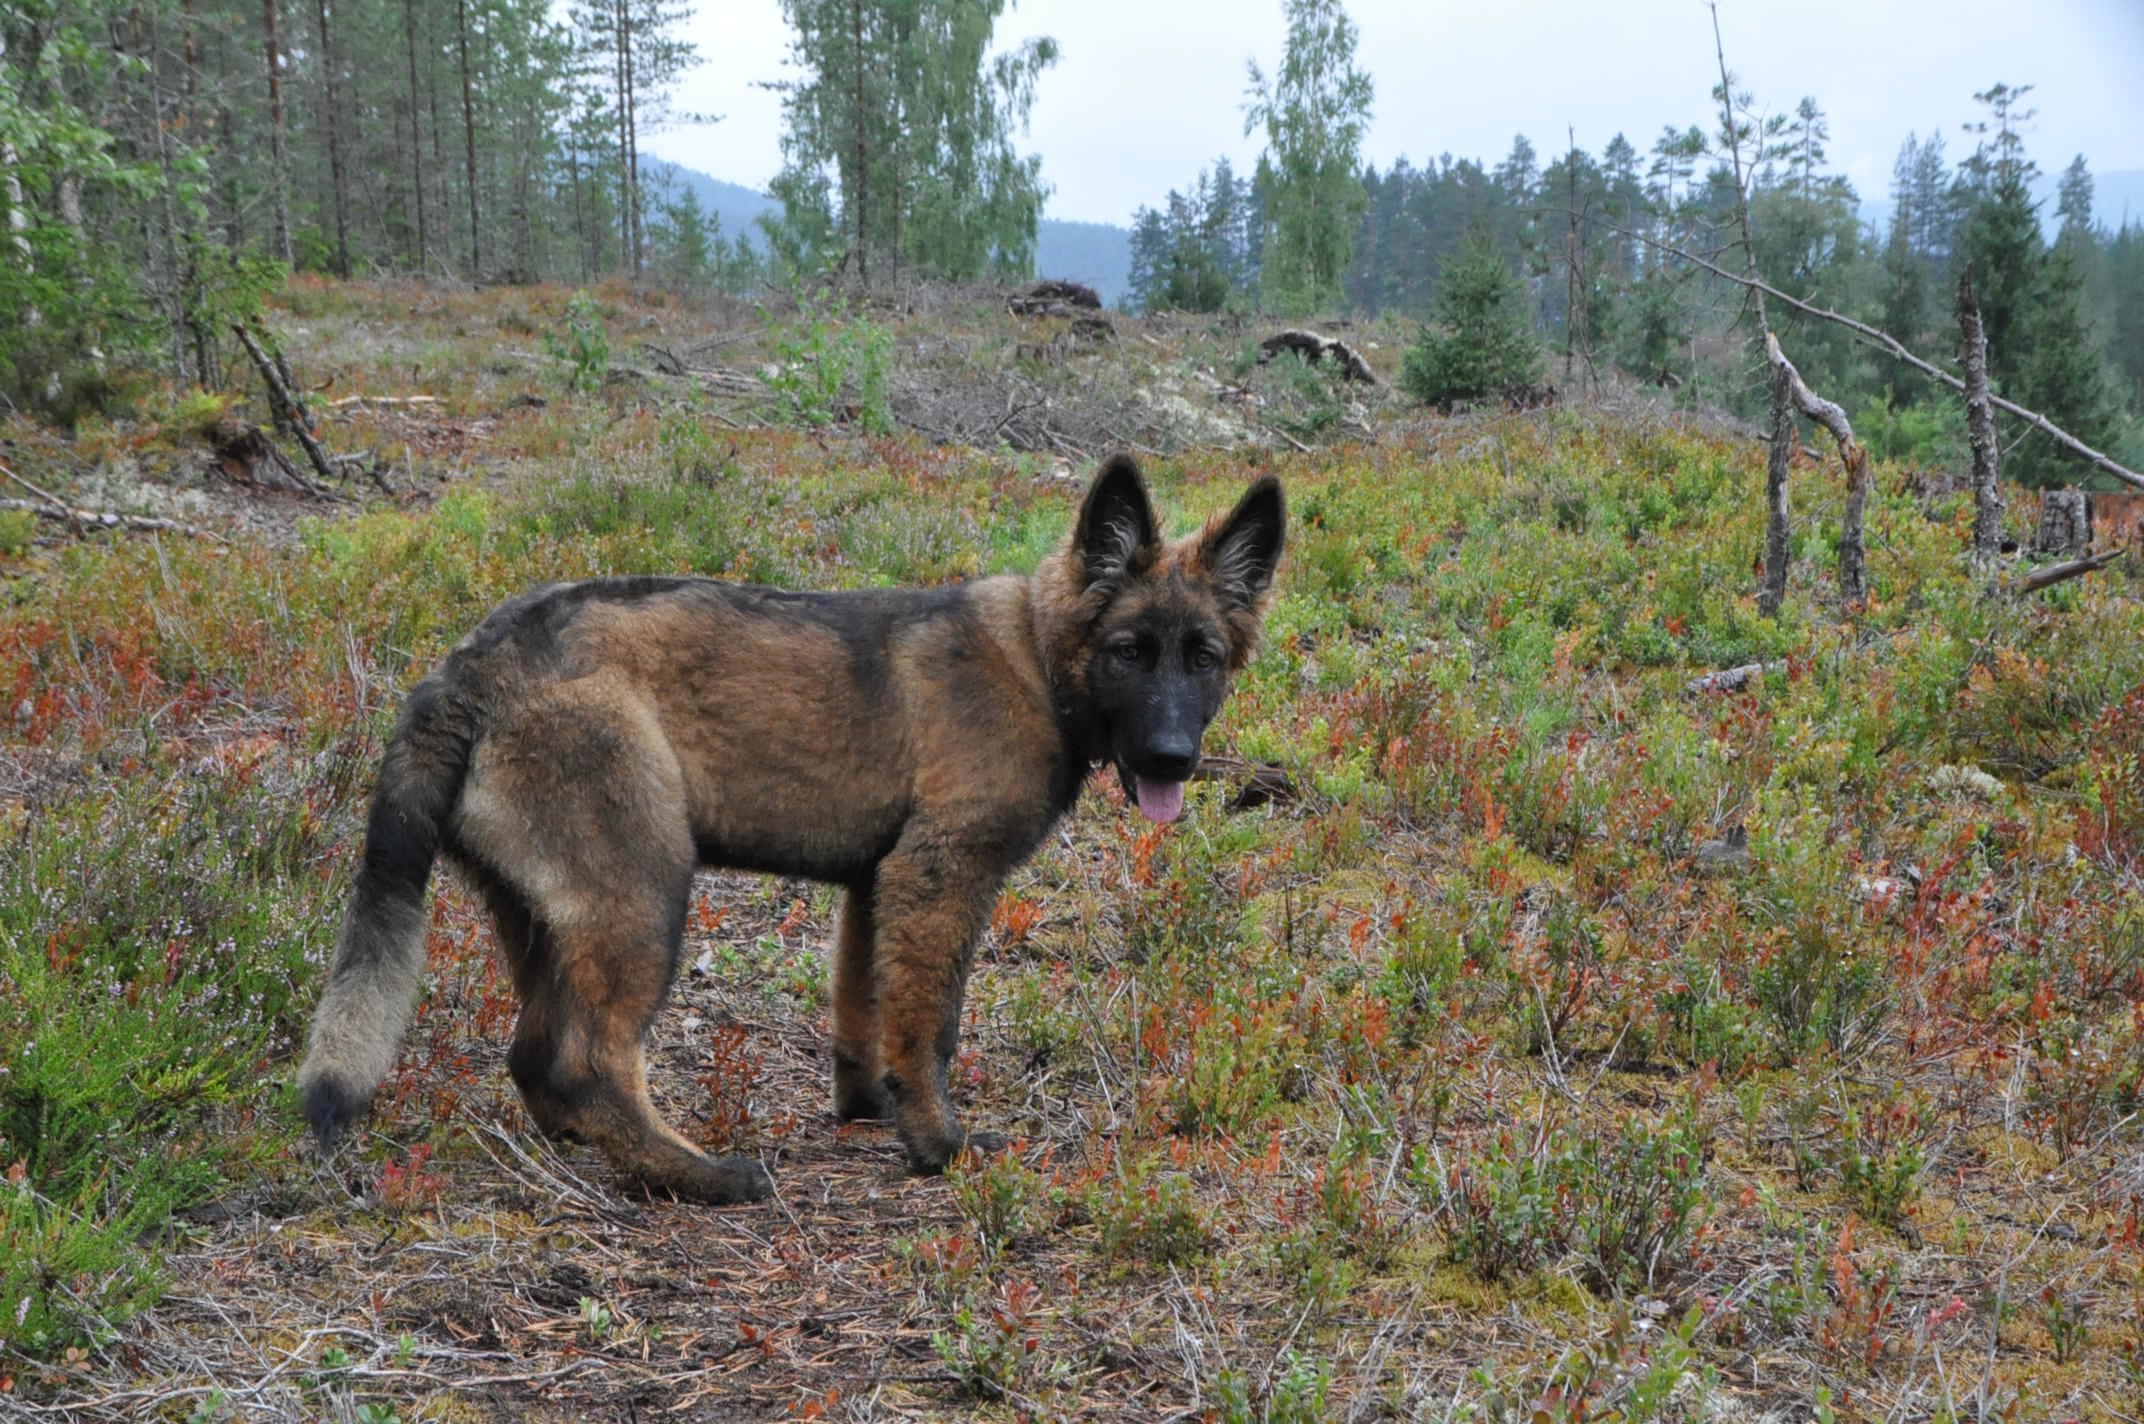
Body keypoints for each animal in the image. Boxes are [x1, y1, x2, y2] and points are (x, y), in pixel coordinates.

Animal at [297, 455, 1285, 1202]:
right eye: (1129, 652)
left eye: (1202, 658)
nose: (1171, 759)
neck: (1038, 660)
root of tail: (465, 670)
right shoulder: (939, 874)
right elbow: (931, 1027)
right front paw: (940, 1145)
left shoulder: (876, 883)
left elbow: (862, 1014)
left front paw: (870, 1108)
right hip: (643, 892)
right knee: (590, 1059)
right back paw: (696, 1176)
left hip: (544, 912)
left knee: (535, 1054)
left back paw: (590, 1148)